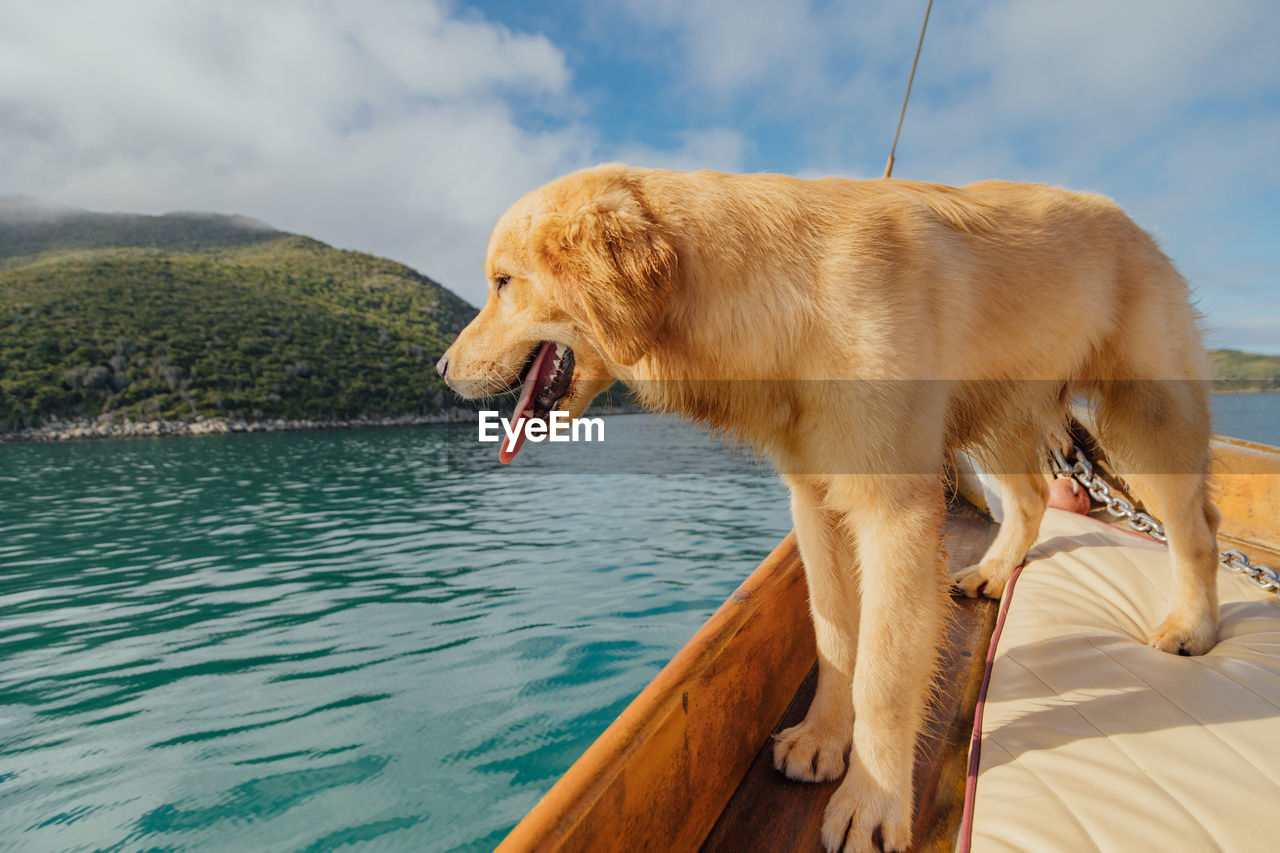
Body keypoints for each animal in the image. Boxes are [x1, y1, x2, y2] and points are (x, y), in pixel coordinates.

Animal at [432, 166, 1218, 850]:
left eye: (503, 282)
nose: (438, 369)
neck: (777, 300)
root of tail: (1130, 221)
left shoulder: (895, 513)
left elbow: (885, 673)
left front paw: (873, 802)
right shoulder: (815, 502)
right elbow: (838, 635)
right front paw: (821, 739)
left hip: (1148, 409)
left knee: (1195, 525)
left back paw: (1191, 624)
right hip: (1001, 411)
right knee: (1027, 500)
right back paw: (994, 572)